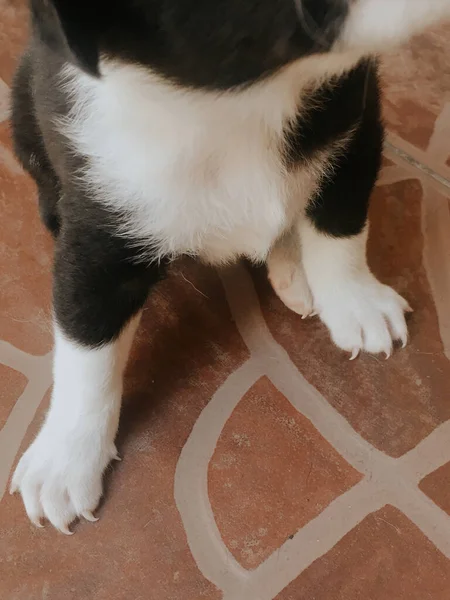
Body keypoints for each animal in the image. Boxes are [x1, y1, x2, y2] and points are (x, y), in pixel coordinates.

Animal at [8, 1, 450, 536]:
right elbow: (86, 351)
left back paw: (293, 266)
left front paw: (356, 303)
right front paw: (65, 459)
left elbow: (340, 228)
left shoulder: (356, 126)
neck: (242, 103)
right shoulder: (100, 232)